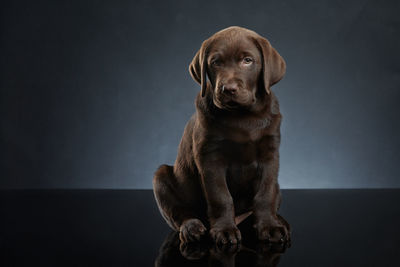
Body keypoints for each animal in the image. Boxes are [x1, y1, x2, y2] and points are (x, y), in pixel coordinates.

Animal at [154, 26, 290, 246]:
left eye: (247, 60)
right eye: (215, 62)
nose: (228, 89)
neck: (243, 116)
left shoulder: (270, 156)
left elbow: (265, 193)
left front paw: (269, 226)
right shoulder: (210, 159)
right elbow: (220, 196)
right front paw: (224, 230)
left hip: (278, 188)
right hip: (161, 177)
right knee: (180, 214)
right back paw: (192, 228)